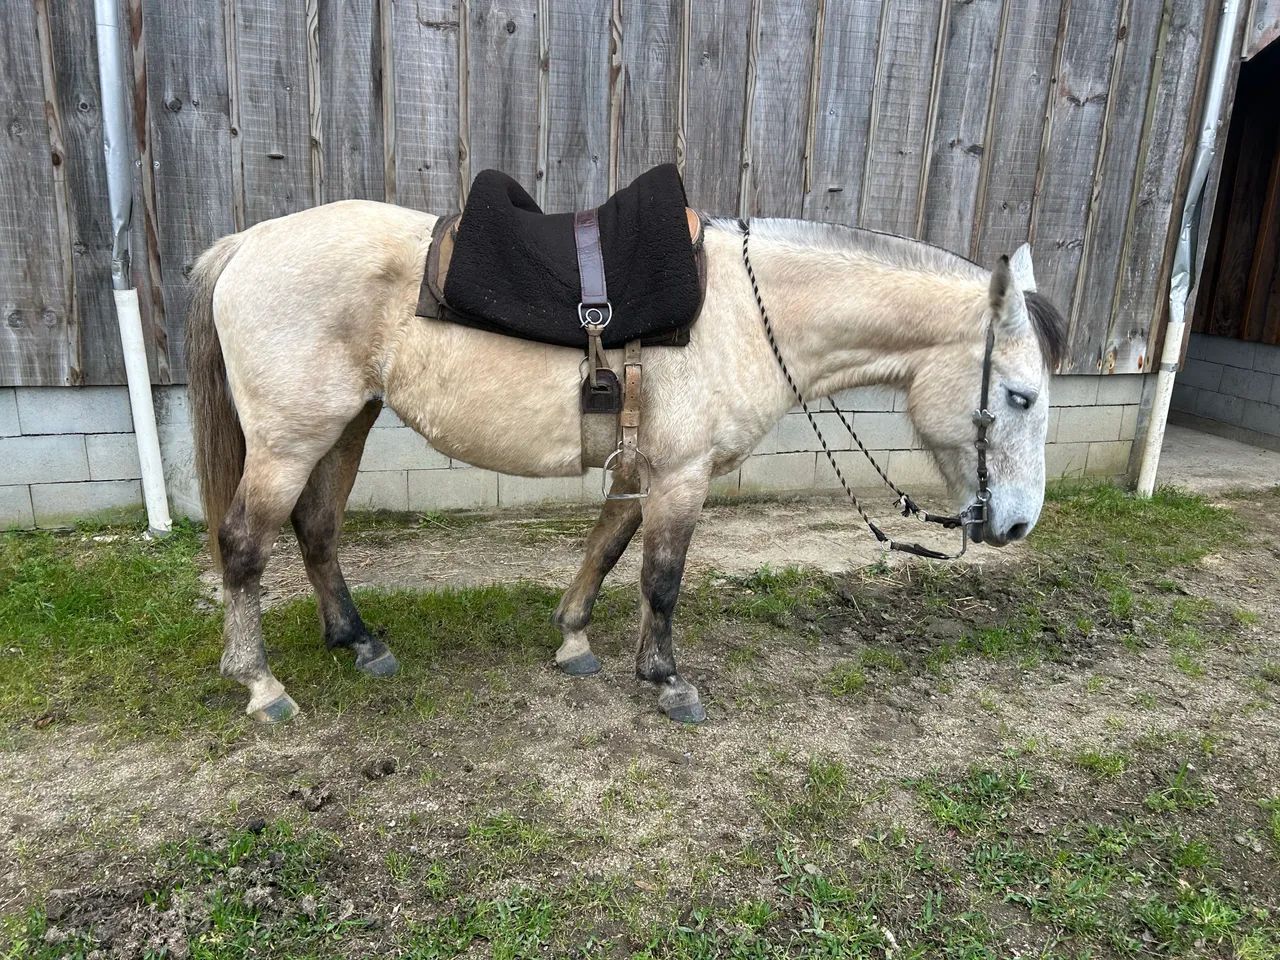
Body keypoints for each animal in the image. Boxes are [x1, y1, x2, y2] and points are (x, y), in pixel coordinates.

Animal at [187, 202, 1066, 725]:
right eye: (1020, 396)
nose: (1018, 523)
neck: (748, 315)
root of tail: (247, 243)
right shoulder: (681, 474)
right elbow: (661, 578)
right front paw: (666, 679)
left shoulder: (643, 469)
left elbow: (606, 549)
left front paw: (574, 641)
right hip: (291, 439)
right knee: (245, 546)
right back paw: (261, 684)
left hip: (345, 425)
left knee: (316, 529)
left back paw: (358, 641)